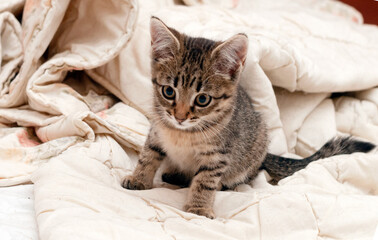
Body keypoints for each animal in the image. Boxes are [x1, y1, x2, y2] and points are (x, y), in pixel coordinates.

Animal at [123, 16, 376, 219]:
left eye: (202, 99)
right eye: (168, 92)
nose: (180, 116)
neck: (182, 134)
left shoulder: (219, 156)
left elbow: (205, 182)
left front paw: (198, 208)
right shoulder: (157, 132)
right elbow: (148, 156)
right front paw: (139, 179)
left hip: (256, 143)